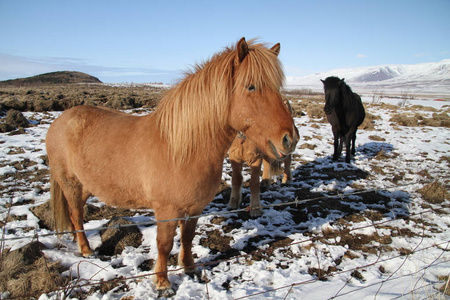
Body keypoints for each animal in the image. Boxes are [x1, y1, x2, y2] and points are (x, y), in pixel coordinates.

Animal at [45, 37, 298, 292]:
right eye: (251, 87)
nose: (289, 139)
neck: (183, 149)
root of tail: (60, 120)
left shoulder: (195, 208)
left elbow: (187, 237)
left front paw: (189, 267)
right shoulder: (166, 211)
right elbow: (164, 244)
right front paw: (162, 282)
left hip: (86, 185)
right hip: (71, 183)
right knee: (76, 214)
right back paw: (86, 250)